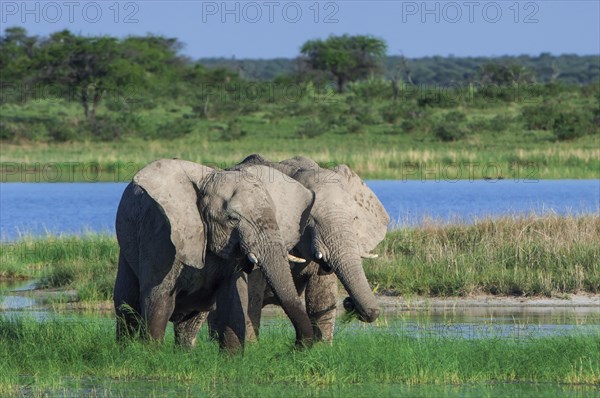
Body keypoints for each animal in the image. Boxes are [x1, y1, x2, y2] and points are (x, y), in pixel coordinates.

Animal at [114, 159, 316, 352]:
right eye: (232, 219)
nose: (293, 347)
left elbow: (233, 302)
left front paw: (231, 357)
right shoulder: (161, 236)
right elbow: (159, 300)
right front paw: (151, 355)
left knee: (190, 322)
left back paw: (183, 355)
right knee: (127, 308)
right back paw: (124, 350)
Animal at [205, 154, 390, 344]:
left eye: (354, 219)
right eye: (310, 219)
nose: (348, 303)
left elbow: (322, 292)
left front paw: (321, 347)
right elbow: (252, 293)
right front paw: (252, 347)